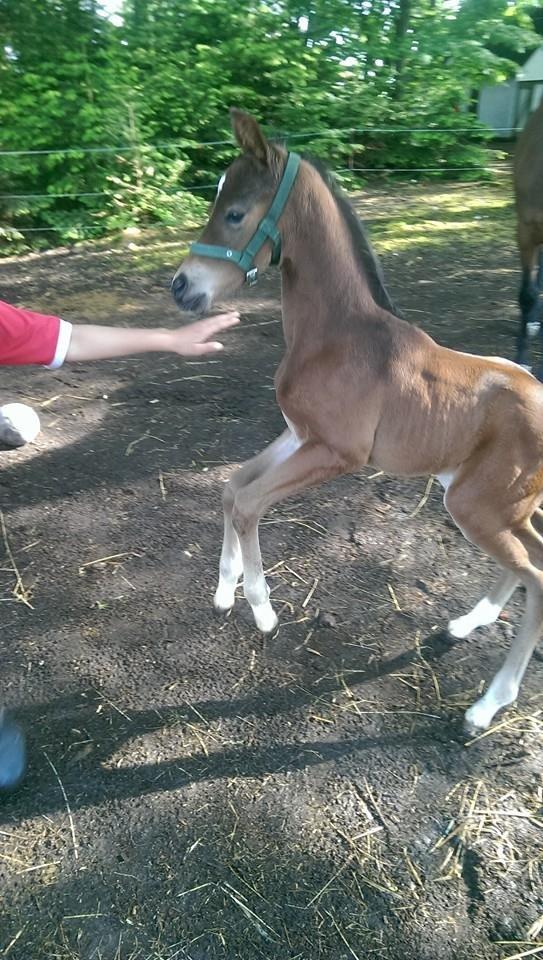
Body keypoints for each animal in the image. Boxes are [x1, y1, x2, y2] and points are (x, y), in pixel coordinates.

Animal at [173, 109, 543, 736]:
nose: (182, 287)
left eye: (235, 213)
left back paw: (486, 706)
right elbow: (232, 484)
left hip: (480, 508)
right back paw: (466, 625)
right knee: (527, 563)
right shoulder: (299, 434)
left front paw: (263, 611)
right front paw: (225, 589)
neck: (338, 335)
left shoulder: (336, 453)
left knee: (537, 577)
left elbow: (249, 502)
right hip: (499, 506)